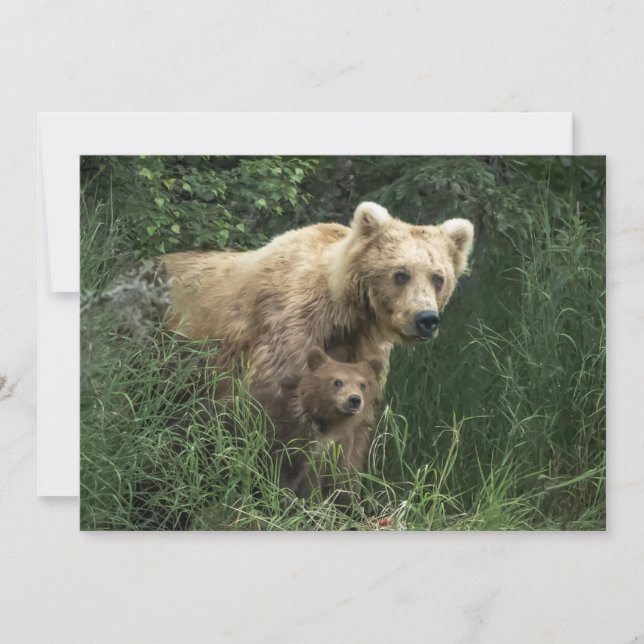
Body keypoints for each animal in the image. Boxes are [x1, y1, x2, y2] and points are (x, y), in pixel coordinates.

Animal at [158, 201, 474, 404]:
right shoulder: (289, 332)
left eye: (438, 278)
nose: (426, 319)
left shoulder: (360, 346)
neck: (345, 312)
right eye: (401, 274)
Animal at [264, 347, 385, 505]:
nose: (354, 399)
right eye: (338, 382)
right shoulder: (294, 437)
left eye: (363, 384)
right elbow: (287, 472)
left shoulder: (339, 447)